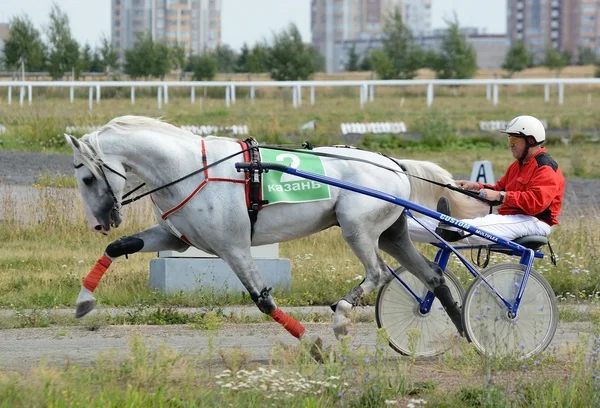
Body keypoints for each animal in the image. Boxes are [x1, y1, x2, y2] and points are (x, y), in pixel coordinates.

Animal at [64, 115, 488, 348]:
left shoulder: (233, 247)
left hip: (358, 228)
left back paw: (341, 316)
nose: (98, 223)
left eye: (87, 178)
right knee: (433, 277)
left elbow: (264, 301)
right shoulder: (178, 239)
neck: (191, 169)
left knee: (378, 274)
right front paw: (84, 302)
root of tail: (394, 163)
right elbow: (118, 247)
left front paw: (314, 343)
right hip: (392, 233)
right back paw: (465, 336)